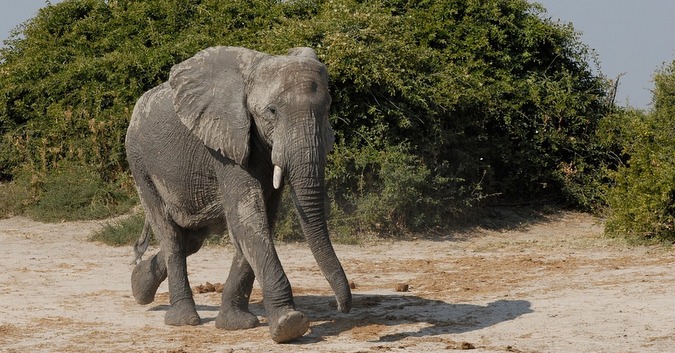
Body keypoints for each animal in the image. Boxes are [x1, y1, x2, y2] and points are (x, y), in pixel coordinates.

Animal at [125, 45, 354, 342]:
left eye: (327, 108)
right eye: (272, 111)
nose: (341, 306)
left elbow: (259, 221)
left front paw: (237, 325)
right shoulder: (225, 144)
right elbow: (248, 217)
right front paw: (289, 325)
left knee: (191, 239)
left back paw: (138, 284)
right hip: (139, 162)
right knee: (171, 236)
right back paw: (182, 319)